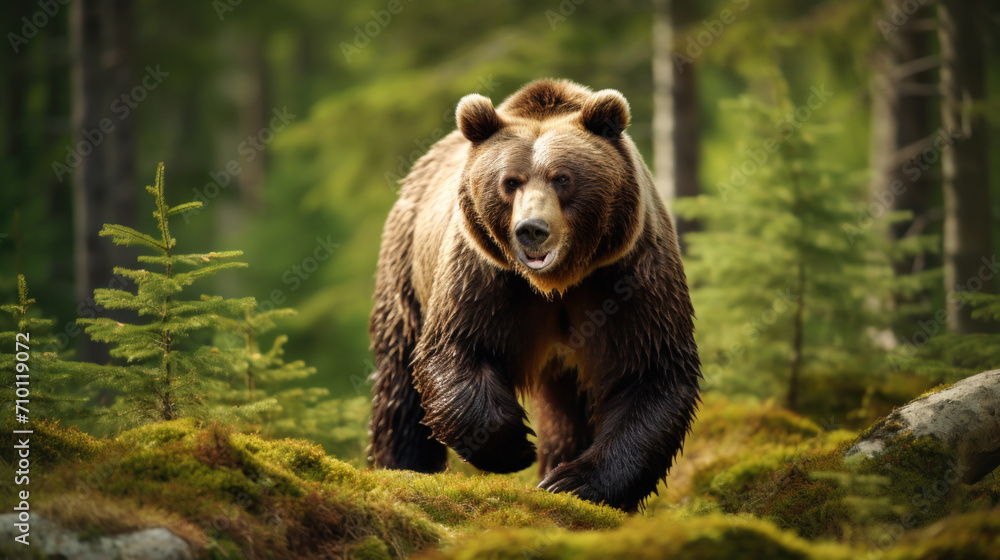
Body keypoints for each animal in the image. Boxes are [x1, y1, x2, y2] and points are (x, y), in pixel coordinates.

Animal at [368, 79, 704, 512]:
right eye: (511, 181)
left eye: (562, 178)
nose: (532, 229)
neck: (557, 282)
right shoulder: (484, 275)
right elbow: (456, 350)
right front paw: (514, 447)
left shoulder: (627, 275)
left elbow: (648, 371)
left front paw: (571, 482)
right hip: (407, 265)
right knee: (399, 375)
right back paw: (401, 462)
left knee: (567, 408)